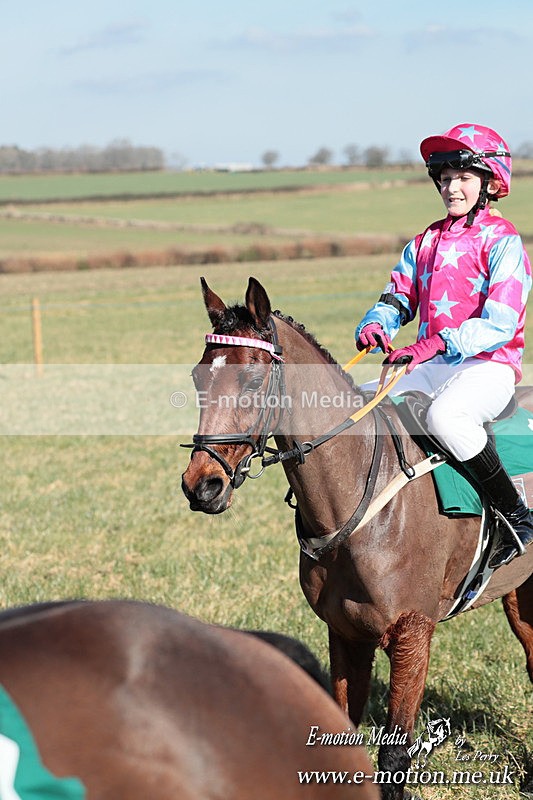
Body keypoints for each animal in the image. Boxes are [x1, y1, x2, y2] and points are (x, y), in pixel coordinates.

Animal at [181, 276, 533, 800]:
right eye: (198, 378)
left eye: (253, 380)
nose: (201, 484)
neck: (361, 507)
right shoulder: (345, 632)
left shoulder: (412, 633)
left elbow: (394, 755)